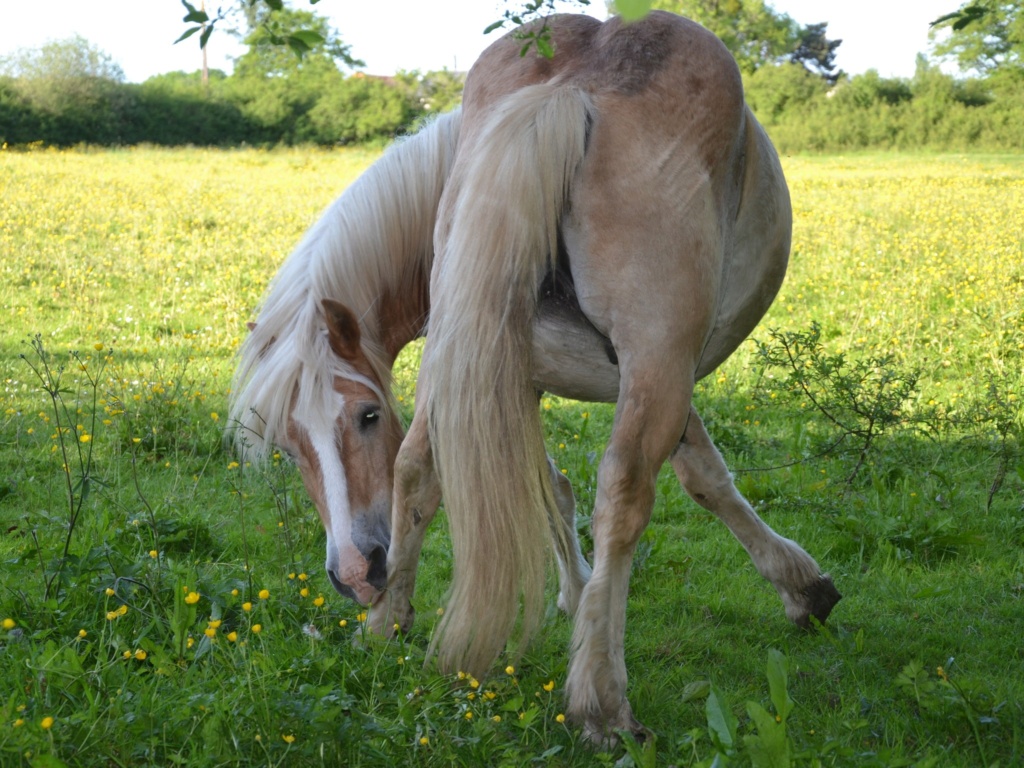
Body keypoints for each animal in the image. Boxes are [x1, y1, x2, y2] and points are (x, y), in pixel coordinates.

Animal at [230, 12, 839, 741]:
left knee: (423, 469)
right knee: (623, 493)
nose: (355, 573)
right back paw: (602, 699)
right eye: (290, 447)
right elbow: (697, 479)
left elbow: (541, 480)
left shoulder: (500, 369)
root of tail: (574, 88)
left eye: (367, 416)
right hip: (655, 359)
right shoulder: (647, 369)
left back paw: (388, 625)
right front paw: (798, 586)